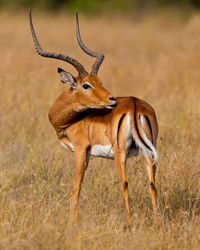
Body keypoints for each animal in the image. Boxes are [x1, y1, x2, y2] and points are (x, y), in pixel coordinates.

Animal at [28, 10, 159, 227]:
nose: (112, 99)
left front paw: (71, 221)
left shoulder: (81, 150)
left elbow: (76, 184)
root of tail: (134, 105)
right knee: (152, 183)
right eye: (88, 84)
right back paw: (157, 221)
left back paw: (129, 223)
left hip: (120, 153)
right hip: (149, 151)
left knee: (125, 183)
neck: (73, 120)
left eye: (96, 82)